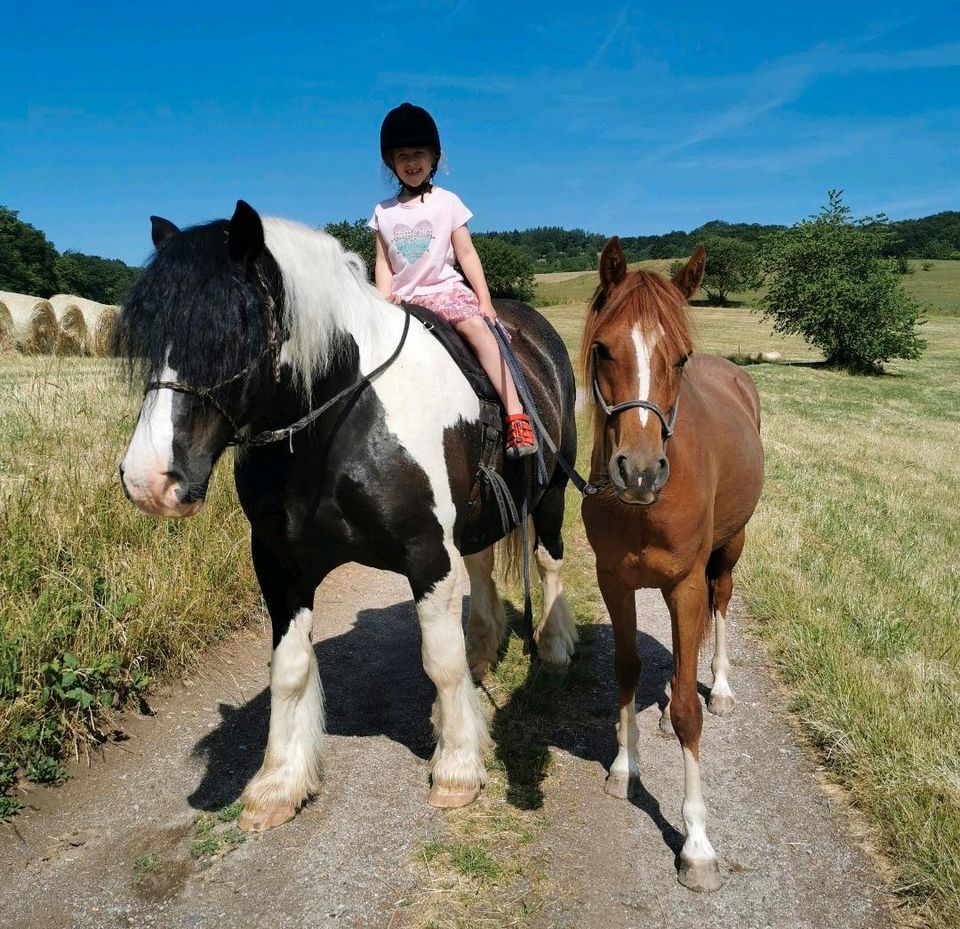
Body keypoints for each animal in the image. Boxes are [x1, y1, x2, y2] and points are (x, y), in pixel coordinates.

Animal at [115, 199, 572, 832]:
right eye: (150, 334)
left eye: (233, 331)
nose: (148, 480)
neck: (343, 421)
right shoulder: (280, 567)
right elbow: (288, 670)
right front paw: (278, 783)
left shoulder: (429, 555)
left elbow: (441, 661)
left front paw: (457, 769)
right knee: (481, 571)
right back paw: (485, 655)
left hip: (551, 491)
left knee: (550, 563)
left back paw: (554, 649)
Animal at [576, 239, 764, 892]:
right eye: (603, 349)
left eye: (679, 358)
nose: (639, 470)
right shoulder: (615, 580)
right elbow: (627, 668)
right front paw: (624, 765)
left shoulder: (686, 580)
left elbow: (688, 711)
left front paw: (698, 845)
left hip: (729, 548)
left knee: (720, 604)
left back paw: (722, 687)